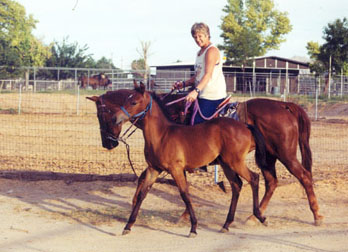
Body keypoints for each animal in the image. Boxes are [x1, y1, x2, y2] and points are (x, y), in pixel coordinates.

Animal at [159, 92, 324, 226]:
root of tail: (283, 105)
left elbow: (184, 187)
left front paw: (185, 215)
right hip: (267, 157)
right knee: (271, 182)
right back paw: (255, 216)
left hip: (286, 154)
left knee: (304, 176)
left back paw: (316, 215)